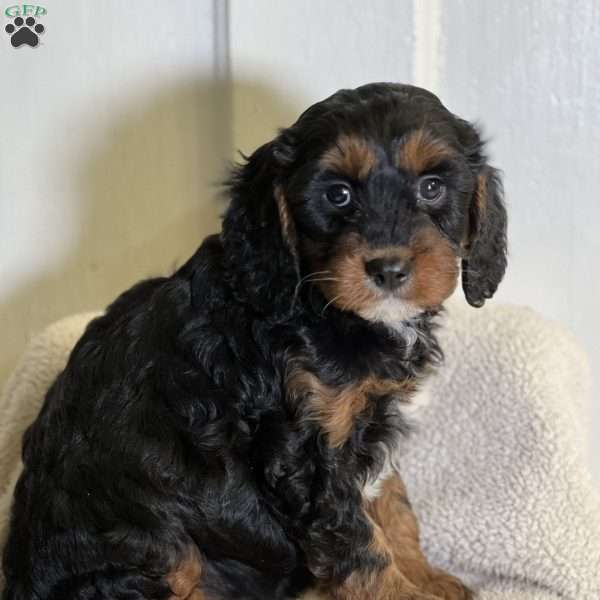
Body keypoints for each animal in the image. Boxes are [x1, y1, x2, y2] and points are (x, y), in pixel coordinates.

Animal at [1, 84, 506, 600]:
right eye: (338, 194)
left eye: (432, 187)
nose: (388, 270)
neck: (317, 303)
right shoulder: (309, 452)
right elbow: (360, 543)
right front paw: (404, 590)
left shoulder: (368, 427)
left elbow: (394, 503)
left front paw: (432, 579)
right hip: (154, 548)